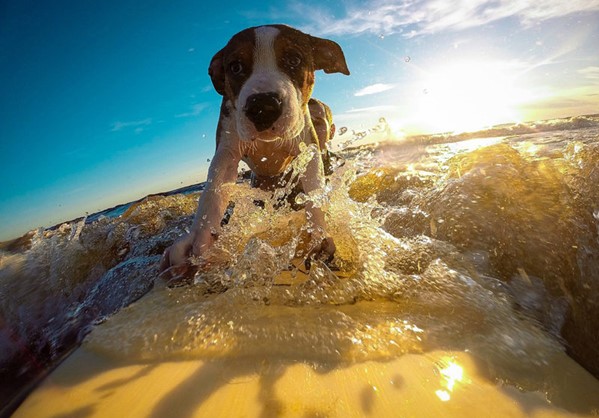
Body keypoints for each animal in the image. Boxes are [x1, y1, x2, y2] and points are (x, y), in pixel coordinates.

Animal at [161, 24, 352, 276]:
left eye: (294, 59)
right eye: (235, 67)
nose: (263, 106)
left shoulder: (307, 147)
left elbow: (314, 191)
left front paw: (317, 235)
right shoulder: (227, 150)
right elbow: (213, 193)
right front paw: (199, 241)